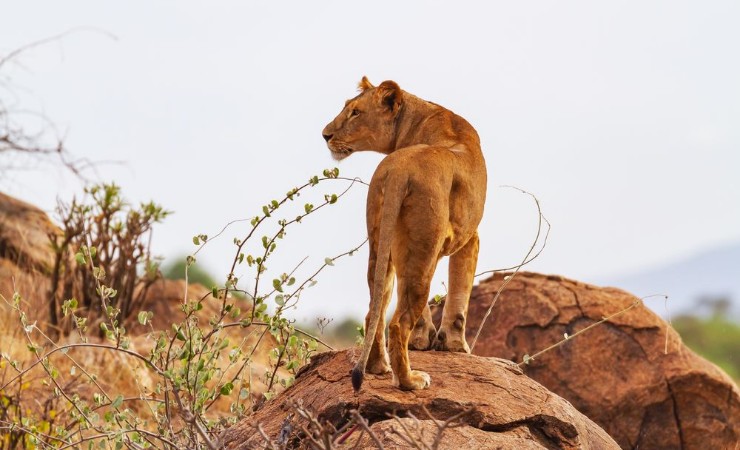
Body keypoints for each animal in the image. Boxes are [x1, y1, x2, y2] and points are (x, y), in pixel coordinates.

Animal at [322, 77, 487, 391]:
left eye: (355, 112)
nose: (325, 135)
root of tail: (399, 169)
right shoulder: (469, 237)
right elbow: (460, 296)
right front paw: (456, 346)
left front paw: (425, 341)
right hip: (424, 246)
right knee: (399, 321)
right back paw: (410, 380)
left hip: (381, 244)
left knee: (375, 308)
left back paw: (378, 367)